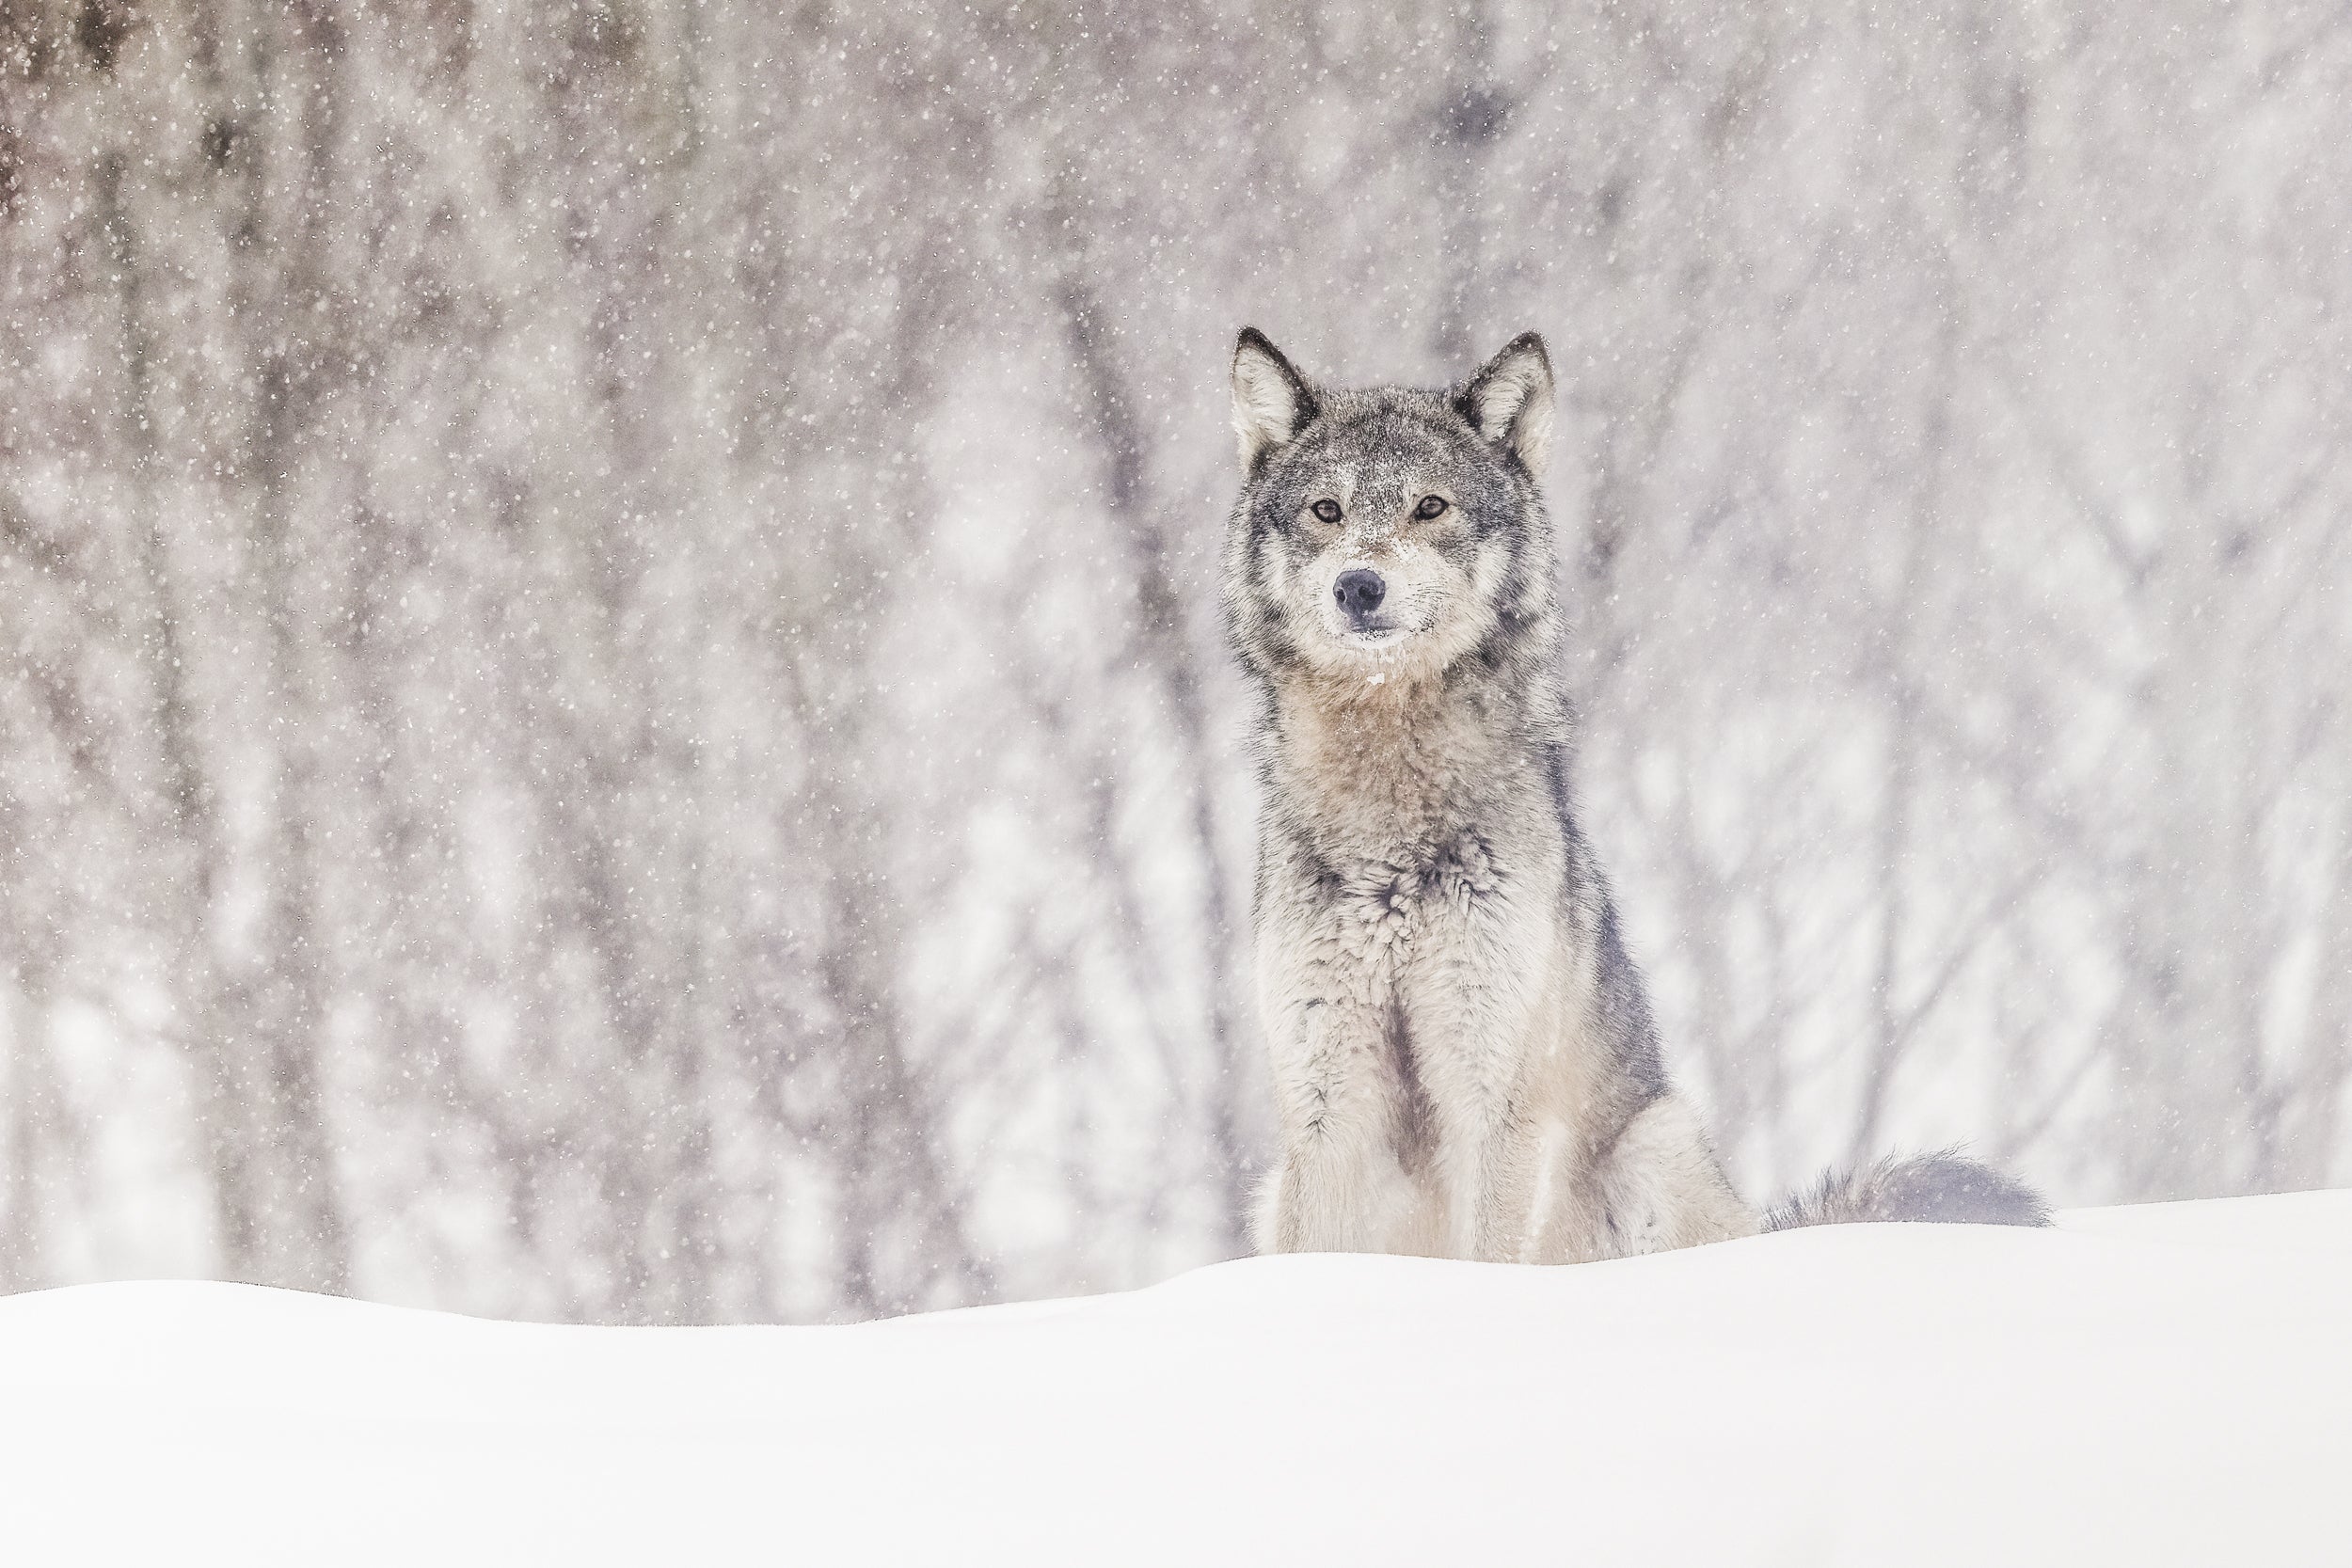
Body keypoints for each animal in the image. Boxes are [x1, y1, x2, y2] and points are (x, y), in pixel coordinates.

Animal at [1223, 326, 2046, 1262]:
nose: (1359, 585)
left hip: (1654, 1143)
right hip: (1273, 1185)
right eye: (1326, 511)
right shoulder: (1325, 1106)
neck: (1389, 807)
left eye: (1430, 507)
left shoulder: (1493, 1095)